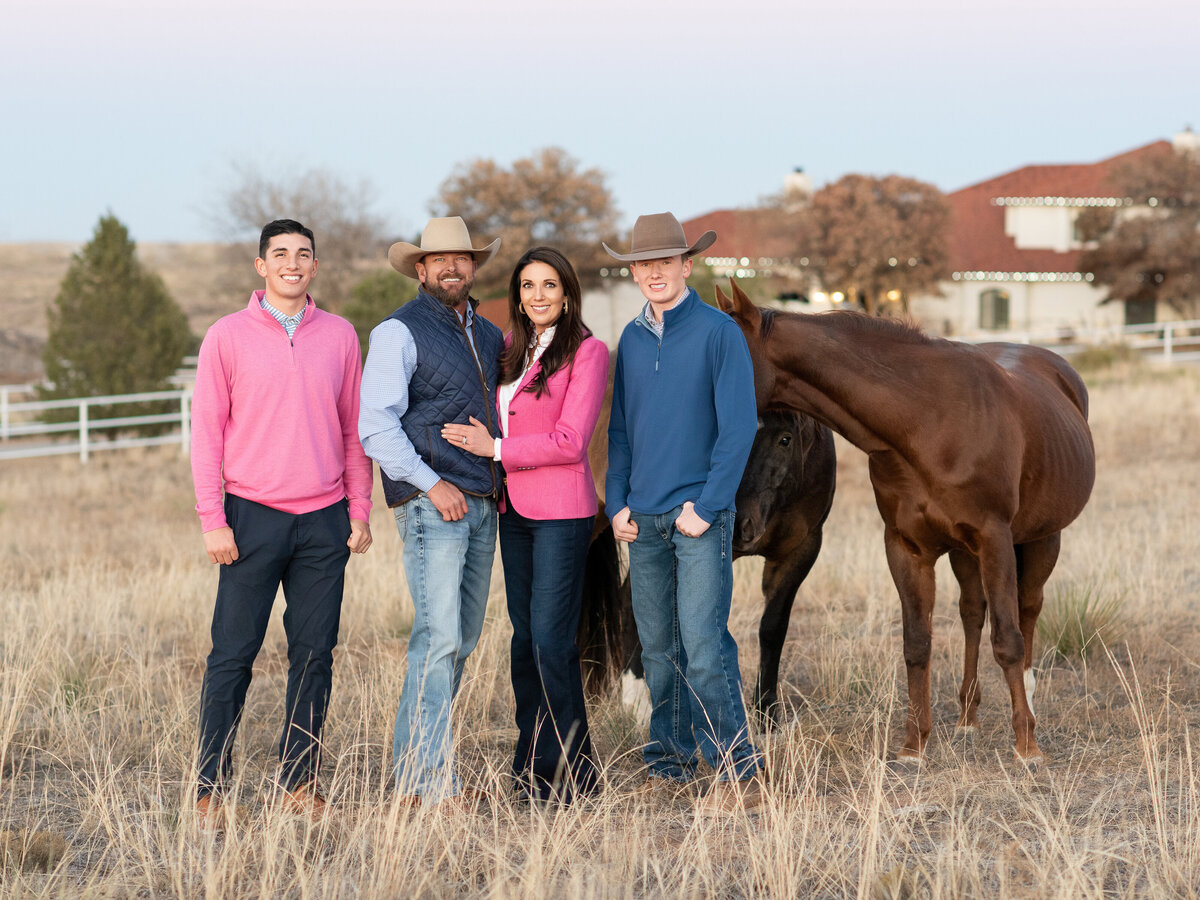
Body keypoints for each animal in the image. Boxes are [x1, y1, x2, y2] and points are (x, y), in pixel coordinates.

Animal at [578, 348, 835, 729]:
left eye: (785, 439)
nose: (740, 523)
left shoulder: (800, 551)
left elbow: (772, 628)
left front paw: (766, 714)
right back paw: (635, 702)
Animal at [710, 280, 1099, 763]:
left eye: (784, 439)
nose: (739, 525)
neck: (927, 421)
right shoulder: (906, 547)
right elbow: (917, 643)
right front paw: (914, 744)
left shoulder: (994, 539)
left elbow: (1008, 640)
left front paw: (1026, 747)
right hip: (963, 552)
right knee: (972, 613)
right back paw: (967, 716)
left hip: (1043, 538)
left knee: (1027, 611)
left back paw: (1027, 700)